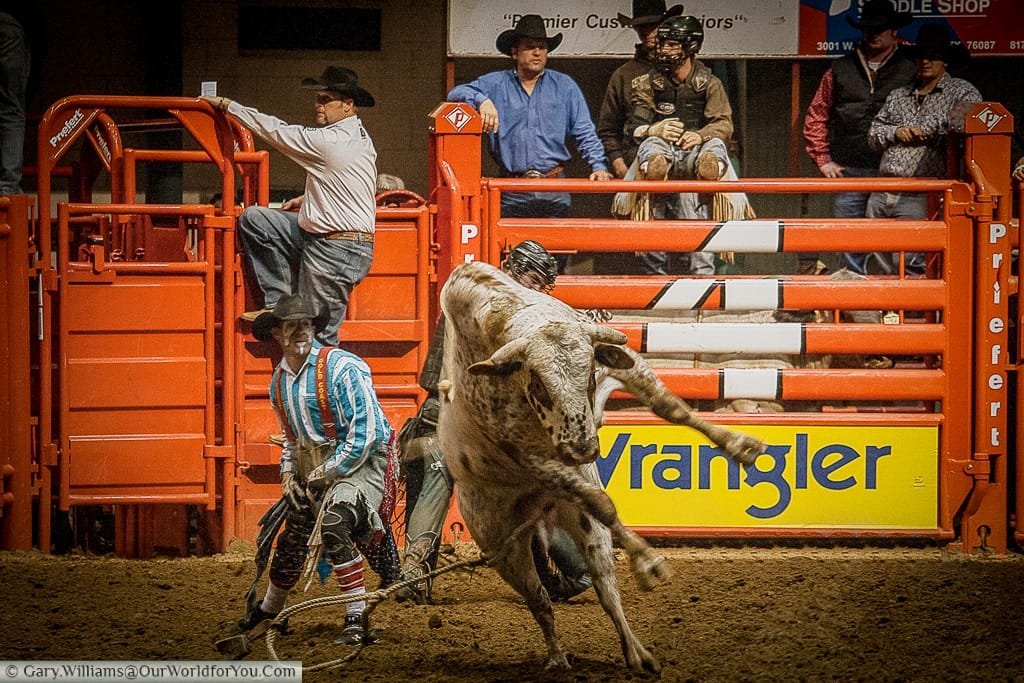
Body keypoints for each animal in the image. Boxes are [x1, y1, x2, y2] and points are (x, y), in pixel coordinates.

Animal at [436, 262, 765, 671]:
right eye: (539, 383)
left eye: (589, 374)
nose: (582, 446)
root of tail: (540, 511)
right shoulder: (529, 455)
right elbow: (601, 501)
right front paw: (648, 559)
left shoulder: (619, 364)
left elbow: (669, 406)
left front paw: (741, 447)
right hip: (500, 543)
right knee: (540, 599)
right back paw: (560, 654)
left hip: (579, 524)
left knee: (605, 584)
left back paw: (637, 653)